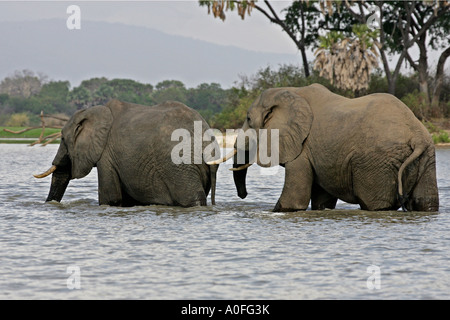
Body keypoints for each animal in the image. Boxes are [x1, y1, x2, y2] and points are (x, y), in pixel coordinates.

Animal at [33, 99, 220, 208]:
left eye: (63, 138)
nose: (51, 204)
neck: (93, 111)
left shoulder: (106, 155)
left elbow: (111, 198)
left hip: (179, 163)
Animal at [211, 84, 440, 211]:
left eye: (249, 119)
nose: (244, 196)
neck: (289, 91)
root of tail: (418, 137)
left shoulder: (302, 148)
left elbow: (294, 200)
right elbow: (322, 199)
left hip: (377, 162)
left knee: (377, 205)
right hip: (427, 158)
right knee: (426, 203)